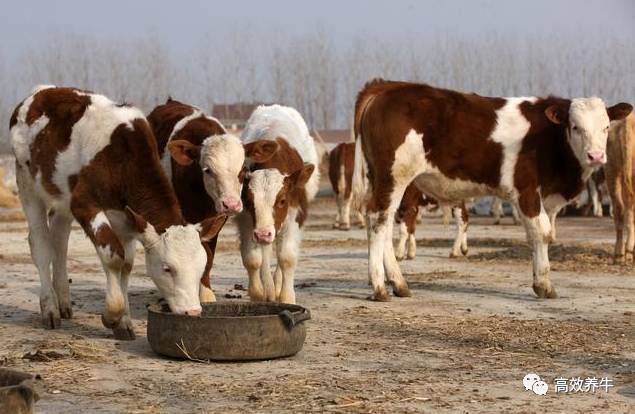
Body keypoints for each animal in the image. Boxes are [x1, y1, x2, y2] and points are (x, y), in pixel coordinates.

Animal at [9, 86, 226, 340]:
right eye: (167, 268)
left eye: (202, 267)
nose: (192, 312)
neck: (123, 157)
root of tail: (43, 91)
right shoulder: (84, 204)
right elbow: (114, 257)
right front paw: (112, 314)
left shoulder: (127, 218)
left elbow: (127, 264)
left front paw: (124, 322)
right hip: (27, 182)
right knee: (41, 245)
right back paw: (50, 309)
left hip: (62, 196)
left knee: (59, 240)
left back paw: (63, 302)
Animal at [145, 98, 272, 302]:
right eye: (207, 170)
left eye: (243, 170)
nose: (231, 204)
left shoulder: (216, 219)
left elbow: (209, 254)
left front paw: (205, 293)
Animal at [237, 103, 320, 304]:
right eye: (249, 200)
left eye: (282, 200)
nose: (262, 234)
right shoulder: (246, 219)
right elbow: (253, 258)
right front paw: (258, 293)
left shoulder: (295, 215)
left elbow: (286, 258)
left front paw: (287, 297)